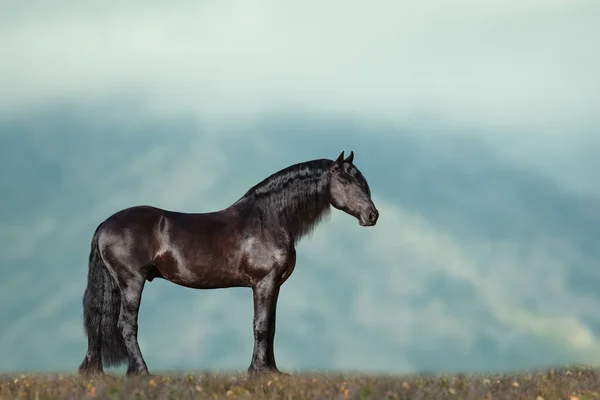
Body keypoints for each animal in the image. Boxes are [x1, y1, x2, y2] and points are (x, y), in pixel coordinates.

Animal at [78, 150, 380, 376]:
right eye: (346, 181)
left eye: (362, 181)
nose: (372, 215)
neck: (268, 219)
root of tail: (105, 225)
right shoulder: (263, 283)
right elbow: (261, 325)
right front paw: (257, 371)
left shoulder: (275, 285)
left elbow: (271, 326)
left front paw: (271, 370)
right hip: (131, 282)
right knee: (127, 325)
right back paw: (142, 372)